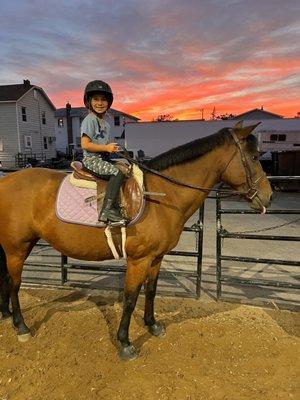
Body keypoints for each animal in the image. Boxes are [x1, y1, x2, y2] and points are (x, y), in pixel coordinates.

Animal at [0, 122, 272, 360]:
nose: (268, 196)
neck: (162, 195)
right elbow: (130, 299)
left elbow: (150, 291)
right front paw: (125, 342)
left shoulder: (156, 258)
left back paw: (5, 314)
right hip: (17, 248)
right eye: (254, 157)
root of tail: (6, 181)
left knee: (6, 279)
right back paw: (21, 326)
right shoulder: (138, 260)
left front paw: (152, 325)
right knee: (14, 284)